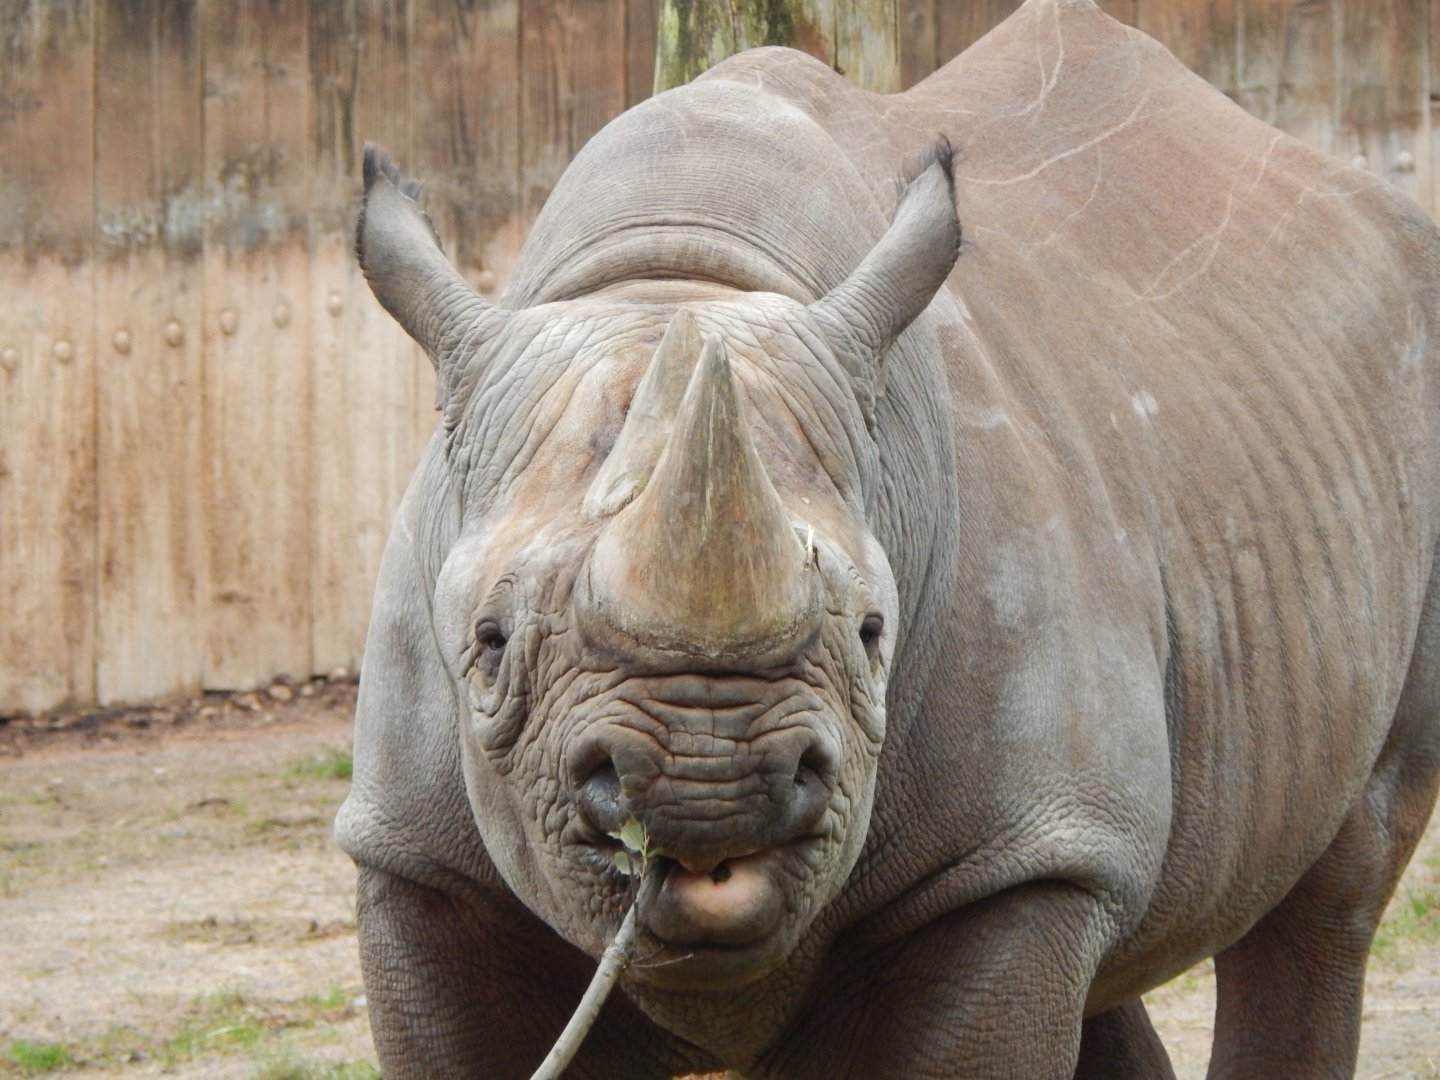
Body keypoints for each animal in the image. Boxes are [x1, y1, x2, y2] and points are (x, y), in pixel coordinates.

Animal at [336, 1, 1440, 1076]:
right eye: (487, 643)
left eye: (874, 633)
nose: (707, 787)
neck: (678, 277)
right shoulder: (417, 862)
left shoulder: (1005, 861)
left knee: (1333, 887)